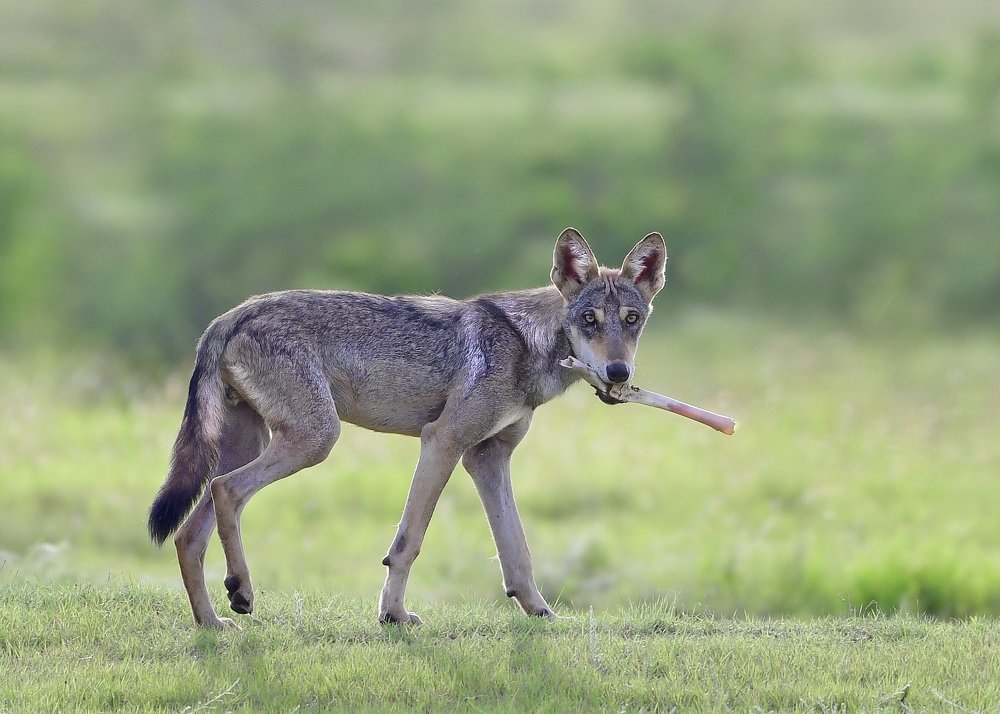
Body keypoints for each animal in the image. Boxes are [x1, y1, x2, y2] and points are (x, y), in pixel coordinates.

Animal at [148, 228, 667, 628]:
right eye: (589, 320)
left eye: (632, 321)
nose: (618, 372)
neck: (525, 342)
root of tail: (230, 315)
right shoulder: (443, 442)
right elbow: (408, 542)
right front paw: (393, 615)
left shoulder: (488, 458)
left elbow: (517, 551)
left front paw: (541, 614)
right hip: (315, 441)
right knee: (226, 491)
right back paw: (242, 591)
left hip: (257, 443)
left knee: (189, 532)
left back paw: (213, 623)